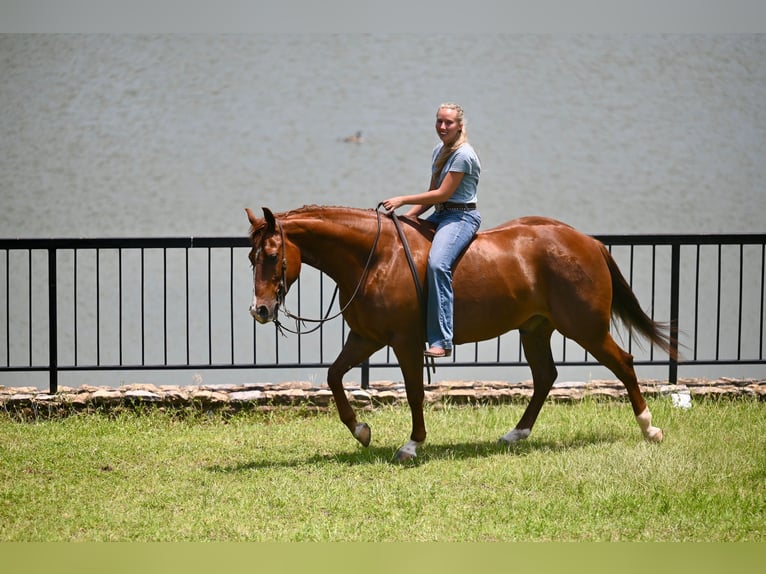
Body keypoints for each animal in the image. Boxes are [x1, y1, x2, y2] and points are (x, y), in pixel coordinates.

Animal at [245, 205, 676, 462]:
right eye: (251, 256)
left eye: (272, 255)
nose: (260, 310)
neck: (376, 256)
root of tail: (588, 242)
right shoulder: (365, 337)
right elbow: (334, 376)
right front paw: (361, 430)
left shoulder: (404, 342)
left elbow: (415, 393)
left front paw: (412, 444)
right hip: (535, 329)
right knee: (545, 377)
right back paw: (516, 433)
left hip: (586, 328)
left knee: (623, 364)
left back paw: (650, 428)